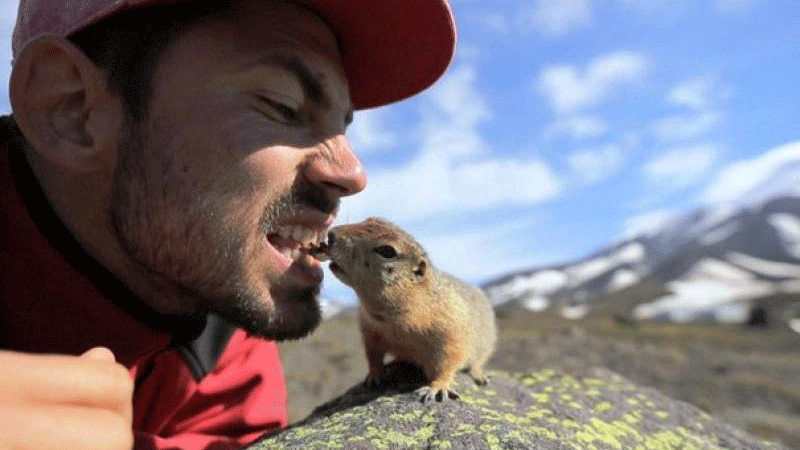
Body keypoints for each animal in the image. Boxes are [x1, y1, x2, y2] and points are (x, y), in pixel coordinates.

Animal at [324, 217, 494, 400]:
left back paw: (479, 374)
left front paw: (436, 388)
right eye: (371, 218)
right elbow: (373, 354)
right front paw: (374, 376)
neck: (389, 319)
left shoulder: (451, 332)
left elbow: (447, 362)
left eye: (387, 251)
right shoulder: (369, 328)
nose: (330, 234)